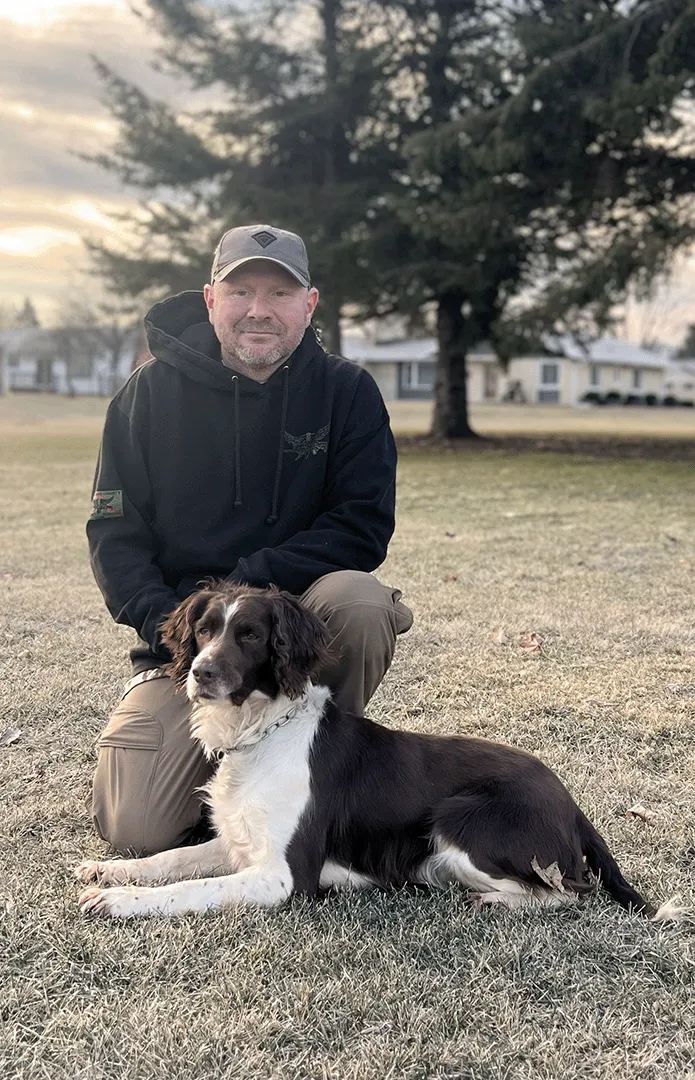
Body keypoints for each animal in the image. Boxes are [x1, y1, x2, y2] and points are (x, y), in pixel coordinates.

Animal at [76, 583, 677, 920]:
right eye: (203, 630)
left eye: (250, 635)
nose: (201, 674)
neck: (263, 731)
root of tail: (571, 805)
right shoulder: (240, 843)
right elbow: (171, 860)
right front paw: (109, 870)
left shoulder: (283, 877)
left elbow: (191, 889)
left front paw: (120, 902)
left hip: (459, 822)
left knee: (571, 891)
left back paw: (496, 900)